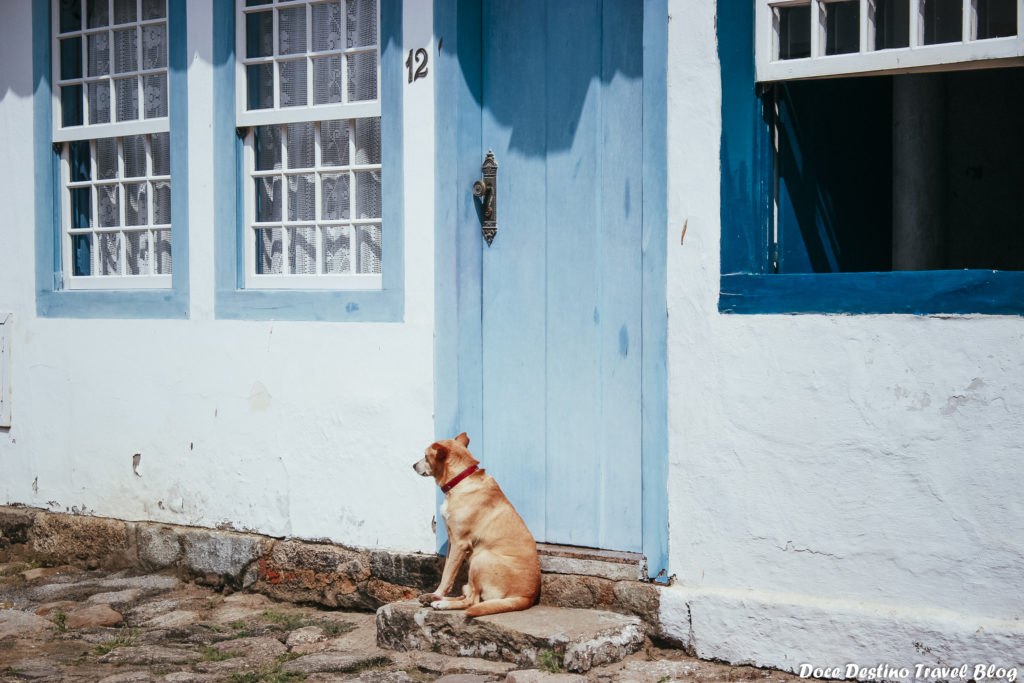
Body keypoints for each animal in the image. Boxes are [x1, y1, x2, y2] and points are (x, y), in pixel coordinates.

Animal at [415, 432, 544, 618]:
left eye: (425, 456)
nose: (413, 465)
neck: (461, 480)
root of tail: (527, 597)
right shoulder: (452, 541)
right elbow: (448, 571)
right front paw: (435, 594)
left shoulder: (460, 543)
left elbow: (447, 575)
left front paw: (437, 594)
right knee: (468, 594)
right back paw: (434, 600)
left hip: (480, 558)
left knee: (472, 602)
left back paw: (441, 603)